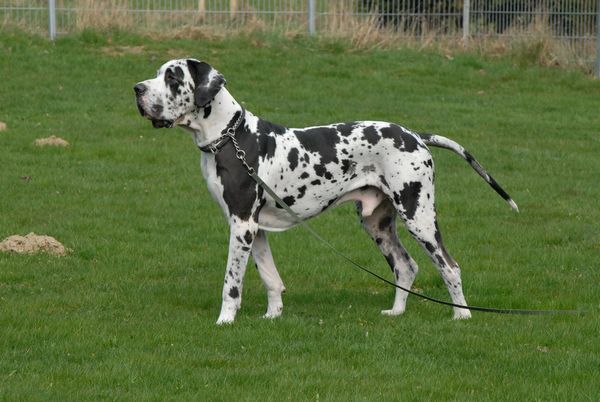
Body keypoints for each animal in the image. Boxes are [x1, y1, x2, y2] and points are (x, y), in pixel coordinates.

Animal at [134, 59, 518, 324]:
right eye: (157, 73)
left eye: (172, 77)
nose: (137, 88)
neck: (232, 136)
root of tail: (415, 135)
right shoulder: (253, 227)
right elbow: (270, 277)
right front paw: (273, 315)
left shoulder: (242, 223)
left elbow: (232, 282)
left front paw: (225, 320)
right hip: (377, 224)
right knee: (406, 266)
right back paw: (396, 313)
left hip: (419, 217)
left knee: (450, 267)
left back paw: (462, 315)